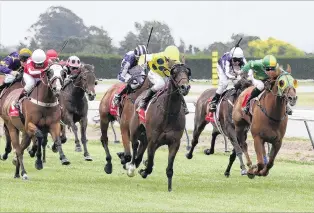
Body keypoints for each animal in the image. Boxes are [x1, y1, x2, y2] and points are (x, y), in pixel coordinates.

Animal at [127, 63, 191, 191]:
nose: (185, 87)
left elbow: (169, 168)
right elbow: (150, 165)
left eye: (187, 72)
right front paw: (143, 171)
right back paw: (131, 167)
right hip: (135, 129)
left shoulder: (174, 143)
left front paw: (170, 188)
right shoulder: (153, 140)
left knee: (142, 146)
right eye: (175, 73)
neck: (169, 113)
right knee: (135, 145)